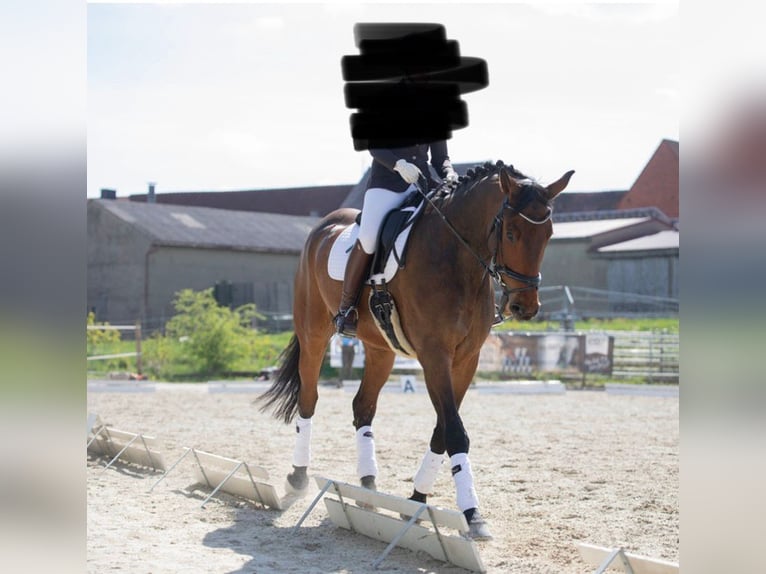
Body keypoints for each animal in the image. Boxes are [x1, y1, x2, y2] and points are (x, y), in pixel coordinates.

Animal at [258, 160, 574, 539]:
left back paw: (368, 486)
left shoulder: (466, 359)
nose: (525, 307)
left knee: (363, 406)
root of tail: (322, 227)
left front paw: (417, 498)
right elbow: (454, 430)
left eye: (549, 234)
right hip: (314, 334)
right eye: (511, 233)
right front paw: (473, 515)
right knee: (308, 400)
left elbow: (443, 428)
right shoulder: (434, 355)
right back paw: (298, 477)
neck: (456, 257)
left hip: (380, 349)